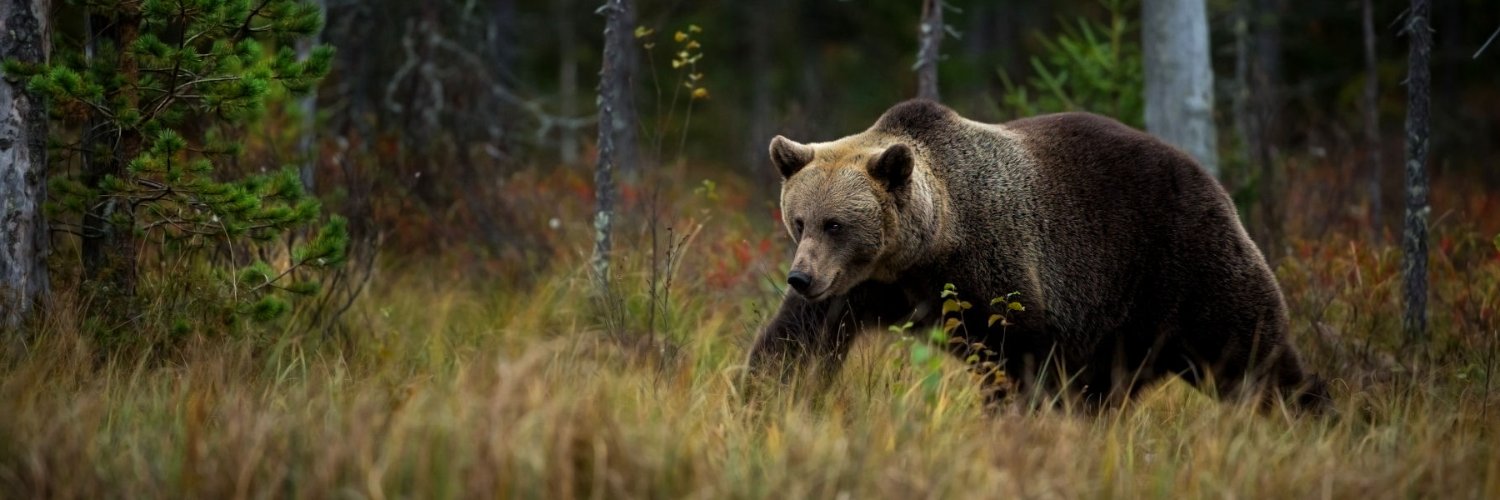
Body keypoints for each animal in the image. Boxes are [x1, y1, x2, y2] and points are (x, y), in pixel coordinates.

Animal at [745, 99, 1328, 412]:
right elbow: (797, 341)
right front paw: (762, 397)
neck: (922, 252)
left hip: (1179, 262)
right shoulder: (864, 287)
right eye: (799, 220)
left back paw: (1311, 414)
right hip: (1121, 324)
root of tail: (1210, 179)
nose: (799, 277)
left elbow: (1016, 356)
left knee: (1251, 351)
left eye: (835, 223)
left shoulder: (994, 269)